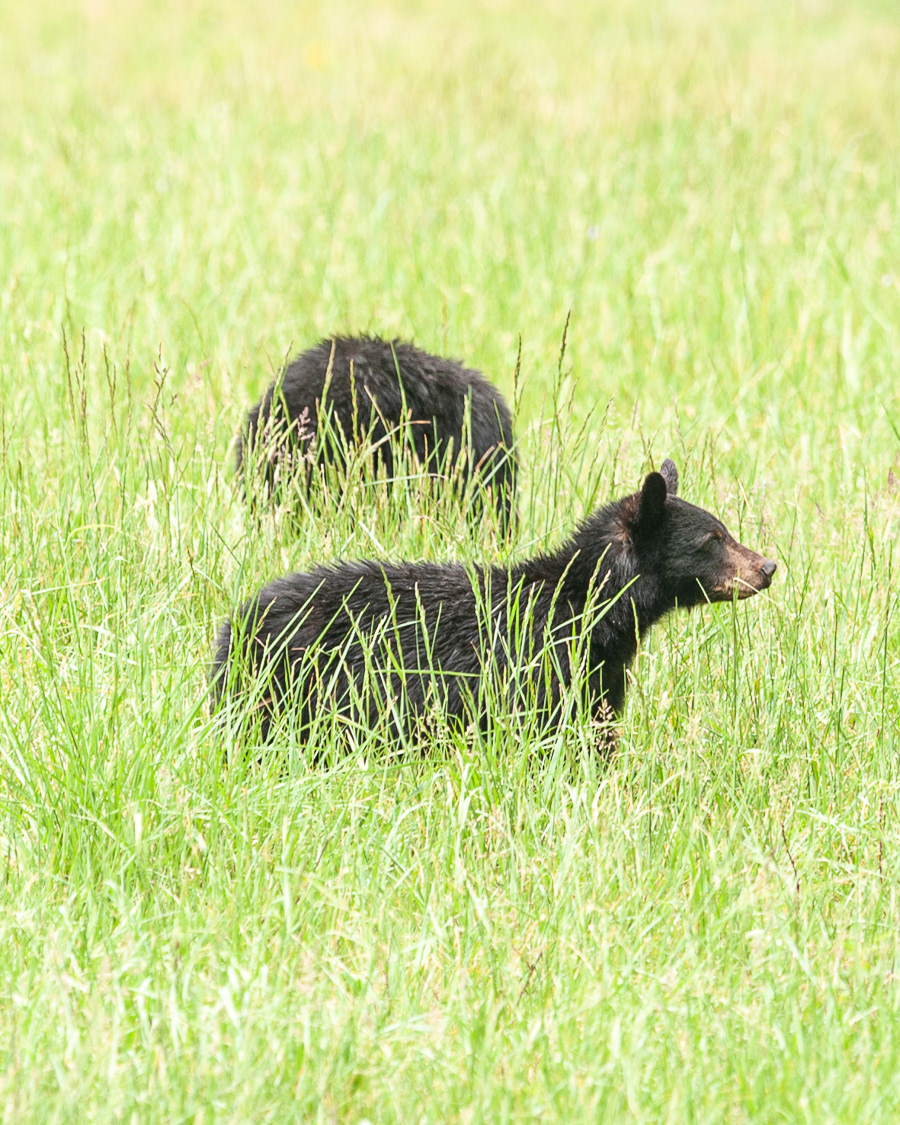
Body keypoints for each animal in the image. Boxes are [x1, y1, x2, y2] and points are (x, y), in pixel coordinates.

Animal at [211, 458, 776, 747]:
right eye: (712, 540)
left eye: (724, 531)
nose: (768, 567)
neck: (585, 610)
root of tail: (234, 625)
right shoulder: (539, 668)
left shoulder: (597, 674)